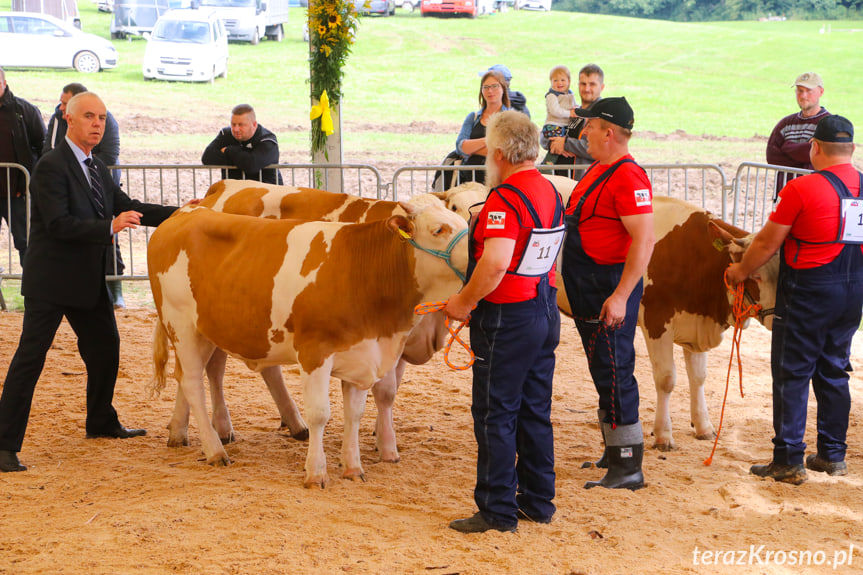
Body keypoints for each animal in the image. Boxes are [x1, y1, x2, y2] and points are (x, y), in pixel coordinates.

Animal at [151, 200, 470, 488]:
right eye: (438, 229)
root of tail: (186, 212)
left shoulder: (362, 355)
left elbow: (354, 414)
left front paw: (353, 468)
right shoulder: (315, 353)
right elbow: (319, 414)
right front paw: (316, 473)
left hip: (211, 331)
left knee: (200, 374)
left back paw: (185, 433)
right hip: (181, 325)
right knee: (192, 382)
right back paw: (215, 450)